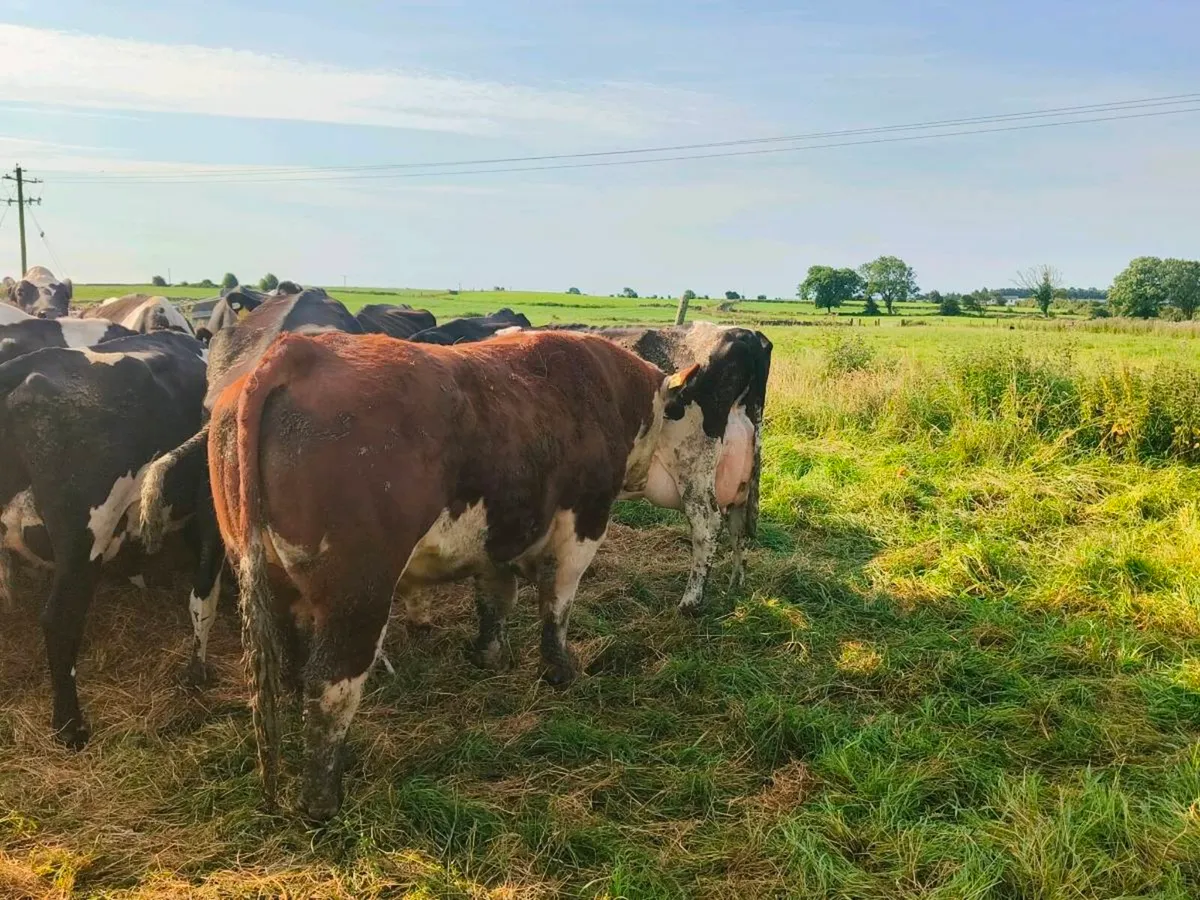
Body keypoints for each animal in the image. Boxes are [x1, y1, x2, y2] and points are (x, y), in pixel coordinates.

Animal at [0, 330, 217, 748]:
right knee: (60, 619)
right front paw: (198, 672)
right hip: (82, 539)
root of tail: (25, 368)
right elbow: (203, 595)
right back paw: (70, 727)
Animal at [207, 329, 722, 819]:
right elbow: (557, 602)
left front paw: (488, 654)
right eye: (692, 417)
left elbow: (494, 596)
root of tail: (300, 350)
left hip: (271, 577)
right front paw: (559, 670)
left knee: (293, 667)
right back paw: (322, 801)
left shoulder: (501, 533)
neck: (610, 391)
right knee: (331, 684)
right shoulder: (584, 521)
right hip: (358, 592)